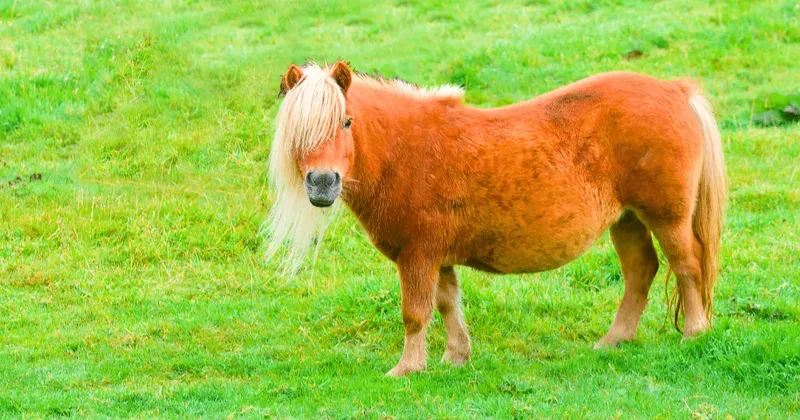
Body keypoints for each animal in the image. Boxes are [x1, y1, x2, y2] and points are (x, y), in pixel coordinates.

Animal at [265, 60, 727, 377]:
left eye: (346, 122)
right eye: (298, 134)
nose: (322, 183)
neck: (405, 150)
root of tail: (675, 90)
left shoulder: (417, 257)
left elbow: (415, 313)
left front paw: (408, 368)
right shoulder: (438, 257)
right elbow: (448, 304)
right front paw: (456, 357)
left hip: (666, 218)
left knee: (687, 266)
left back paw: (694, 332)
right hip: (627, 220)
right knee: (640, 271)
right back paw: (613, 341)